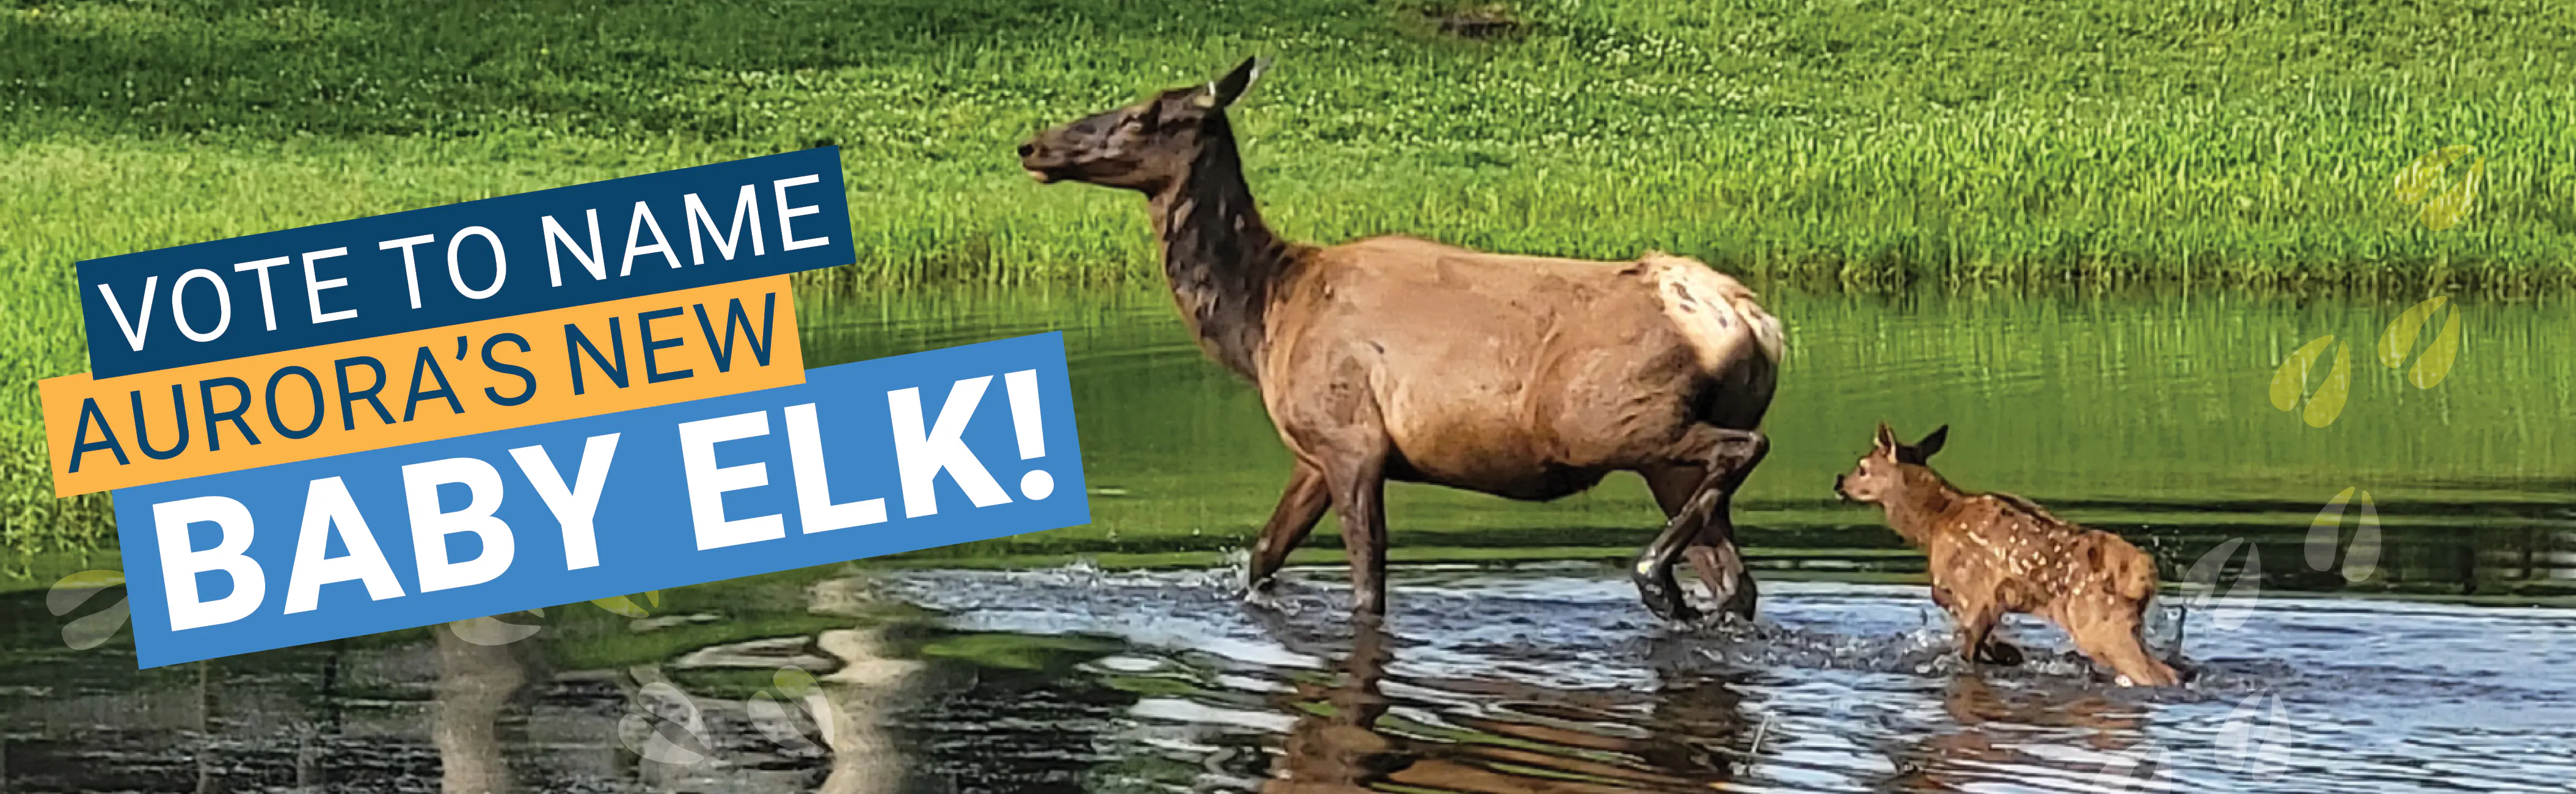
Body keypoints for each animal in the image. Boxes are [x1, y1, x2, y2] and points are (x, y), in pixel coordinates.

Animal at [1019, 58, 1786, 622]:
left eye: (1145, 113)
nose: (1033, 144)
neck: (1263, 318)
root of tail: (1754, 324)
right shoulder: (1311, 451)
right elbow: (1262, 556)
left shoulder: (1351, 441)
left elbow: (1367, 588)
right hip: (1661, 458)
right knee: (1737, 580)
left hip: (1608, 421)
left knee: (1744, 450)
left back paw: (1653, 576)